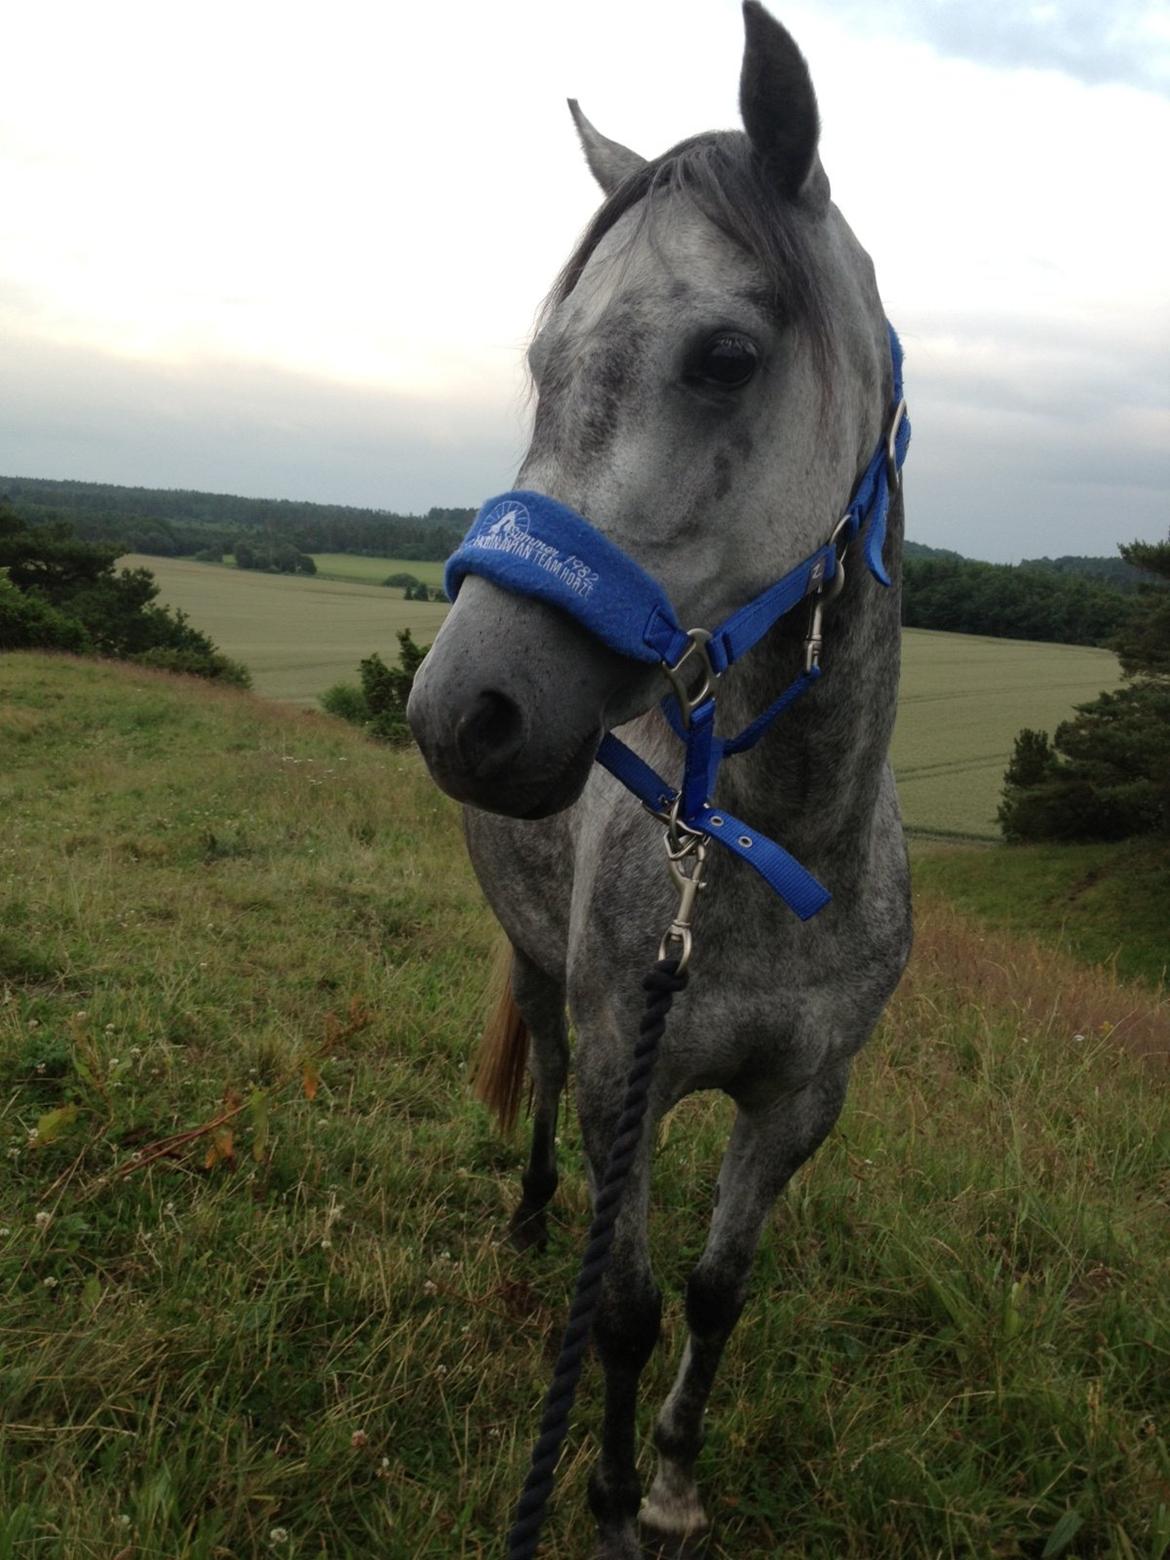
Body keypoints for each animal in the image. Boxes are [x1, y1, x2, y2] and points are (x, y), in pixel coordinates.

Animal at [407, 4, 912, 1554]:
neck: (770, 850)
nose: (460, 710)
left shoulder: (801, 1100)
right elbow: (622, 1307)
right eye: (545, 360)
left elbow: (715, 1291)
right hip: (542, 977)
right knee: (546, 1082)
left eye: (727, 356)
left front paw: (680, 1479)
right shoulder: (631, 1066)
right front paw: (615, 1499)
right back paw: (523, 1222)